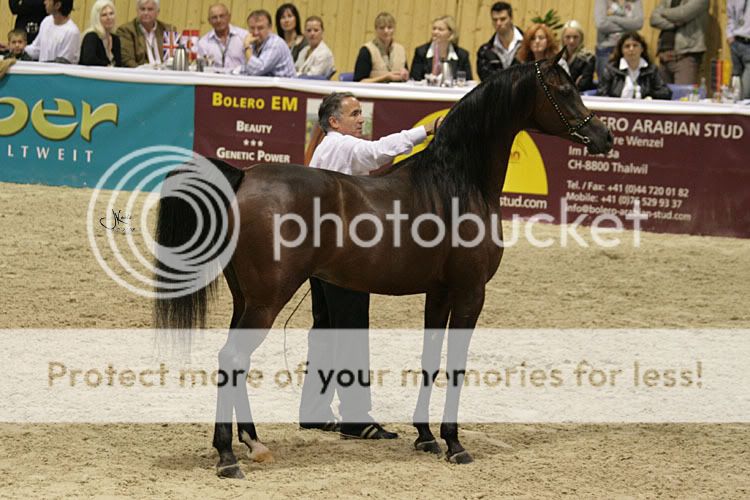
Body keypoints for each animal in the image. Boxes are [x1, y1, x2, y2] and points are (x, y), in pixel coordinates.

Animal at [154, 49, 616, 476]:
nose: (605, 136)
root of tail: (244, 178)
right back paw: (228, 456)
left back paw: (253, 442)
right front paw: (454, 444)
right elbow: (456, 365)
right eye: (563, 89)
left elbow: (431, 360)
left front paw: (426, 436)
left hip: (245, 299)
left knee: (235, 361)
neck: (456, 182)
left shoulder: (439, 293)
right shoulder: (471, 292)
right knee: (232, 358)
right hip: (267, 300)